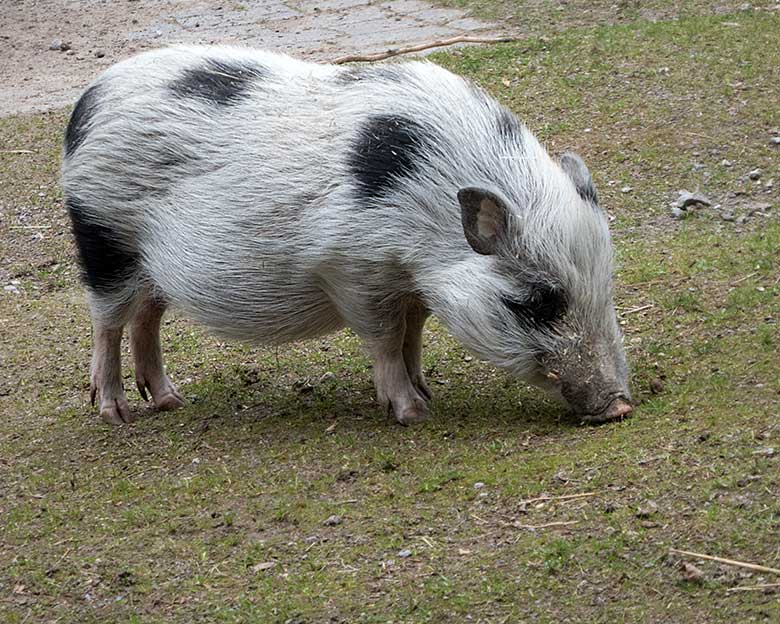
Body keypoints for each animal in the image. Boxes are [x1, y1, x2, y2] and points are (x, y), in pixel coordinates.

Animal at [61, 44, 632, 424]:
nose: (621, 407)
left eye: (606, 286)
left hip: (150, 262)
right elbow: (385, 339)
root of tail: (90, 98)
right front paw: (412, 413)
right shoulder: (350, 268)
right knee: (106, 321)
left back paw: (171, 401)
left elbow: (413, 331)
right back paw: (115, 414)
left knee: (147, 317)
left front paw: (427, 392)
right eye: (538, 302)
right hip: (101, 232)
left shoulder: (410, 281)